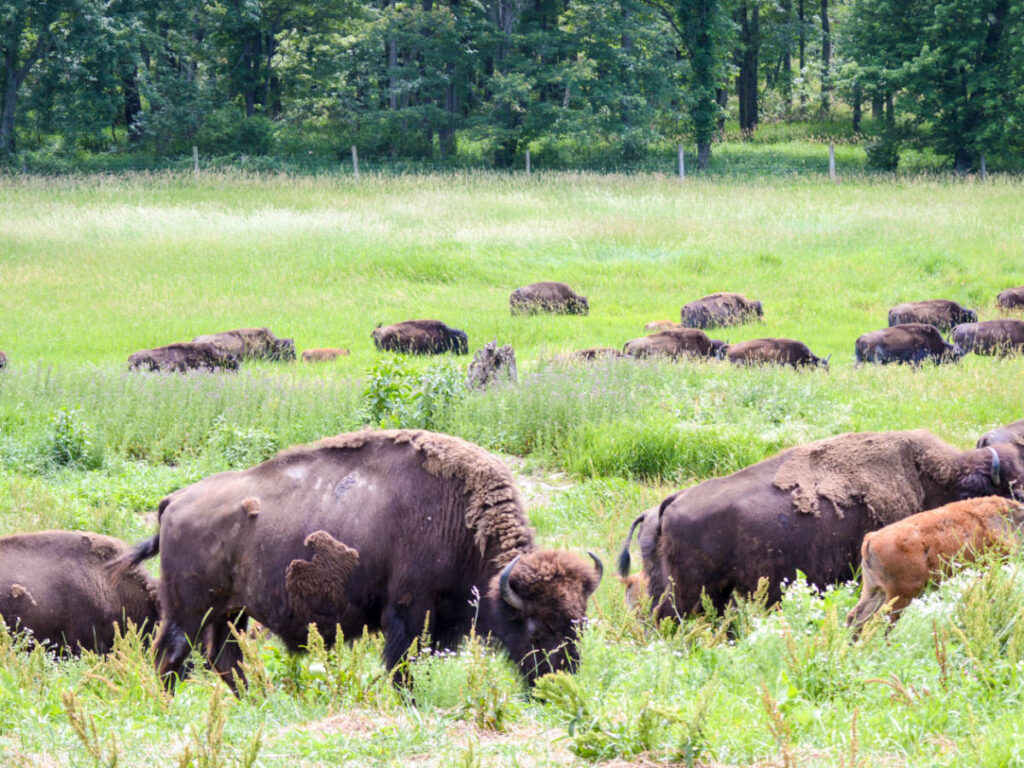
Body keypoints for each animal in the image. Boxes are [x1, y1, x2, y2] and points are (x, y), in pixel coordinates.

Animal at [116, 429, 602, 689]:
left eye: (580, 624)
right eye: (535, 629)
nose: (560, 682)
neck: (459, 518)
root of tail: (174, 500)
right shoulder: (409, 611)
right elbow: (402, 663)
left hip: (229, 612)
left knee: (224, 659)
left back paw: (255, 699)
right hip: (188, 611)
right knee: (171, 657)